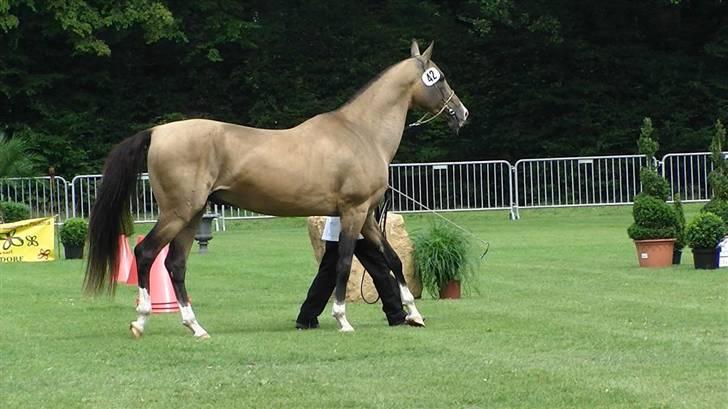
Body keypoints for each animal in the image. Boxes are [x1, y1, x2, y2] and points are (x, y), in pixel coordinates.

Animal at [82, 39, 470, 338]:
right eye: (440, 77)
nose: (462, 113)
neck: (361, 132)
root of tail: (157, 132)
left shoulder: (368, 217)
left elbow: (391, 259)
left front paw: (413, 313)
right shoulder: (353, 211)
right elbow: (345, 262)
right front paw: (343, 319)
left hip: (191, 216)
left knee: (175, 265)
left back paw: (196, 327)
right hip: (177, 213)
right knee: (146, 253)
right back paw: (142, 321)